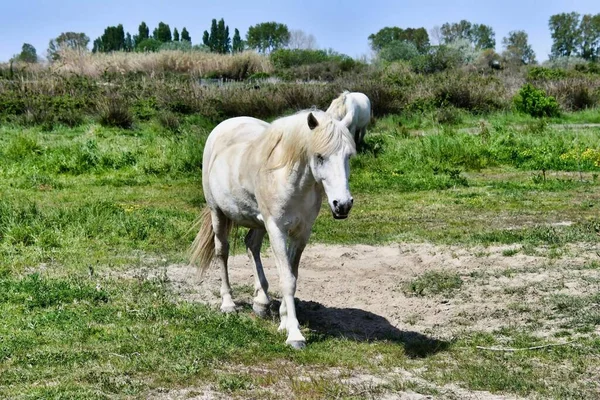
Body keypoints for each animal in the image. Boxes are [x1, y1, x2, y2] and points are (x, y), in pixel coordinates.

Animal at [190, 111, 354, 348]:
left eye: (348, 156)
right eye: (320, 156)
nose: (342, 205)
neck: (291, 181)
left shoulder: (302, 233)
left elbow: (293, 275)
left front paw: (284, 320)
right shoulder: (277, 230)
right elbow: (287, 280)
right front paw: (294, 334)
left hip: (259, 222)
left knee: (251, 245)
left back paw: (261, 301)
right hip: (218, 213)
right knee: (222, 251)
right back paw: (228, 303)